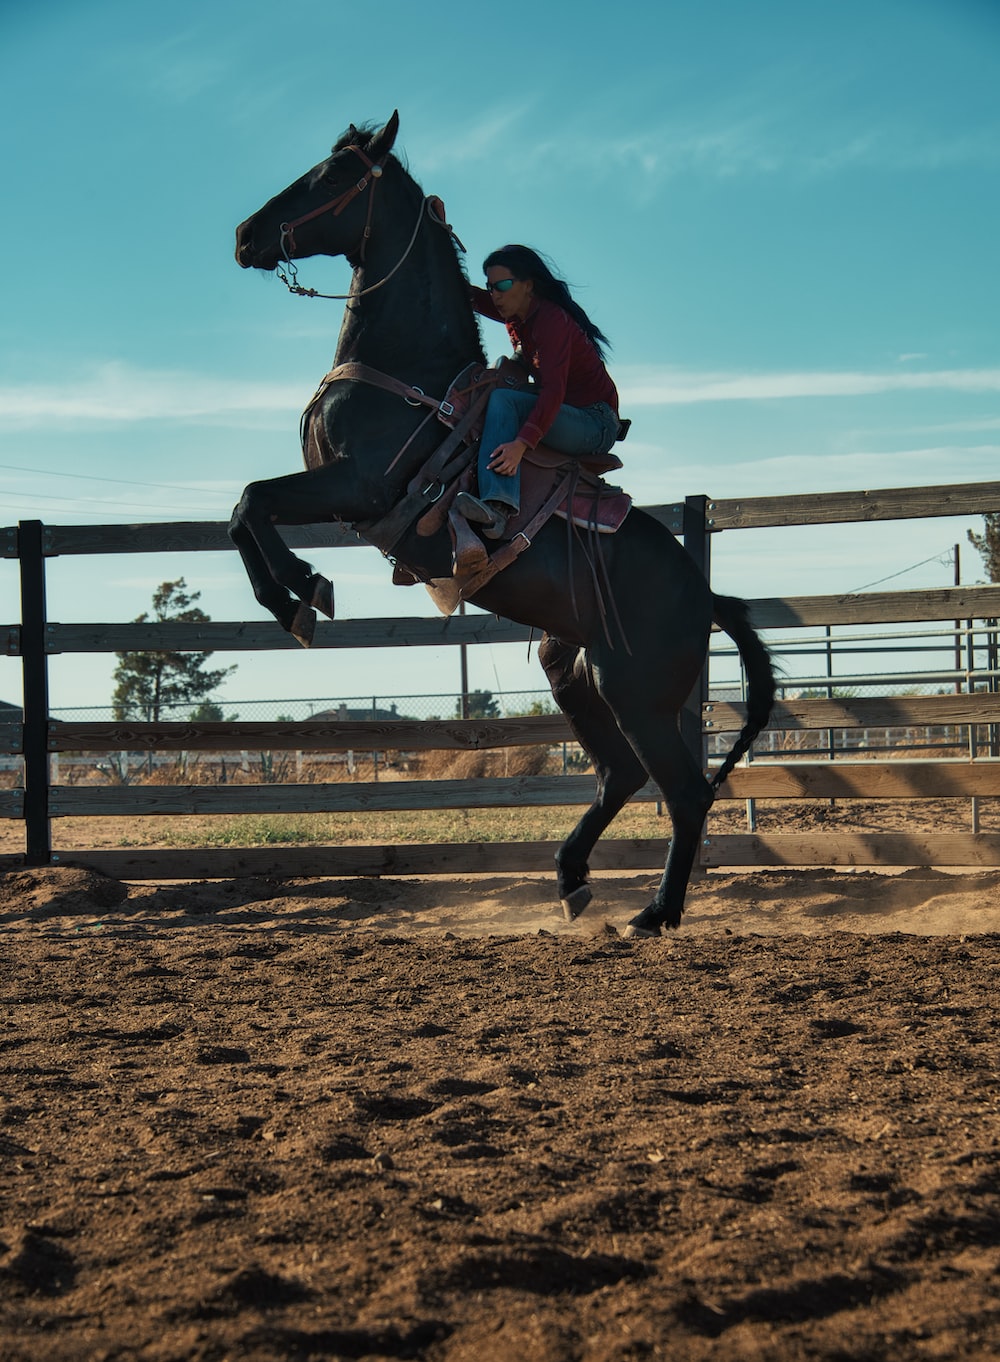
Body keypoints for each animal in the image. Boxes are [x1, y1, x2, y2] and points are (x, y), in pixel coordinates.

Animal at [230, 112, 775, 937]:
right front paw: (293, 596)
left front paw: (301, 592)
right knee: (620, 775)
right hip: (572, 670)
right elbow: (244, 509)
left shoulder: (354, 487)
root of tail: (704, 597)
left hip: (637, 691)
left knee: (684, 791)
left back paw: (655, 912)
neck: (413, 377)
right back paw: (574, 881)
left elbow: (254, 501)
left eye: (333, 176)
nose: (246, 234)